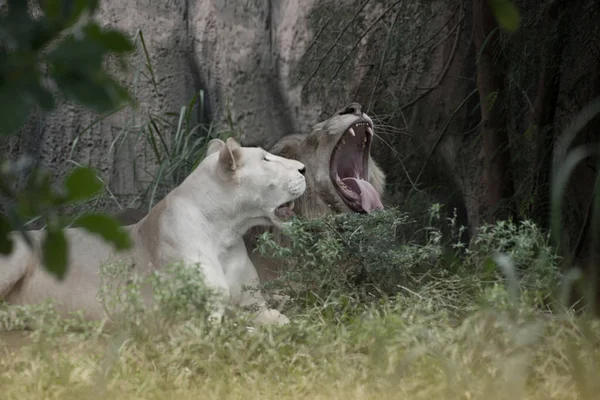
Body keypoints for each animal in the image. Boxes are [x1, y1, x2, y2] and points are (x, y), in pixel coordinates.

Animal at [0, 139, 308, 326]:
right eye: (267, 159)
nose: (304, 168)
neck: (226, 232)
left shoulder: (254, 304)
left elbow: (284, 322)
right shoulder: (193, 320)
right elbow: (241, 333)